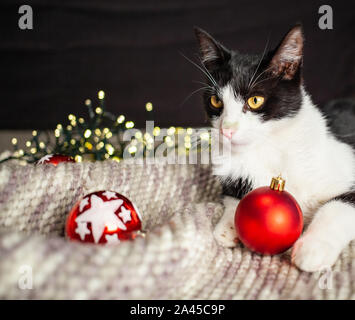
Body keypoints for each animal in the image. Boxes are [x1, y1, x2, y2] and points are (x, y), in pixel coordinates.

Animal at [193, 25, 355, 272]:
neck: (267, 148)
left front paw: (313, 248)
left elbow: (337, 205)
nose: (226, 129)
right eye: (216, 102)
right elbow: (232, 197)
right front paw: (227, 226)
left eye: (255, 101)